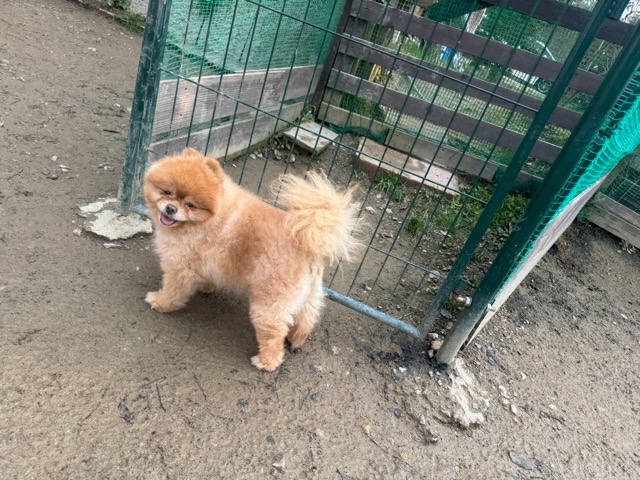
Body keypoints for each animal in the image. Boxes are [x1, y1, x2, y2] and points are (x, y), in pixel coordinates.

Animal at [143, 147, 361, 371]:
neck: (208, 220)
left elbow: (173, 292)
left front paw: (160, 303)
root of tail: (307, 244)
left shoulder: (179, 267)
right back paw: (296, 339)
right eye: (167, 192)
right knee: (307, 318)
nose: (171, 209)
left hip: (268, 306)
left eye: (190, 205)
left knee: (274, 335)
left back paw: (266, 362)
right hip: (309, 295)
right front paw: (206, 287)